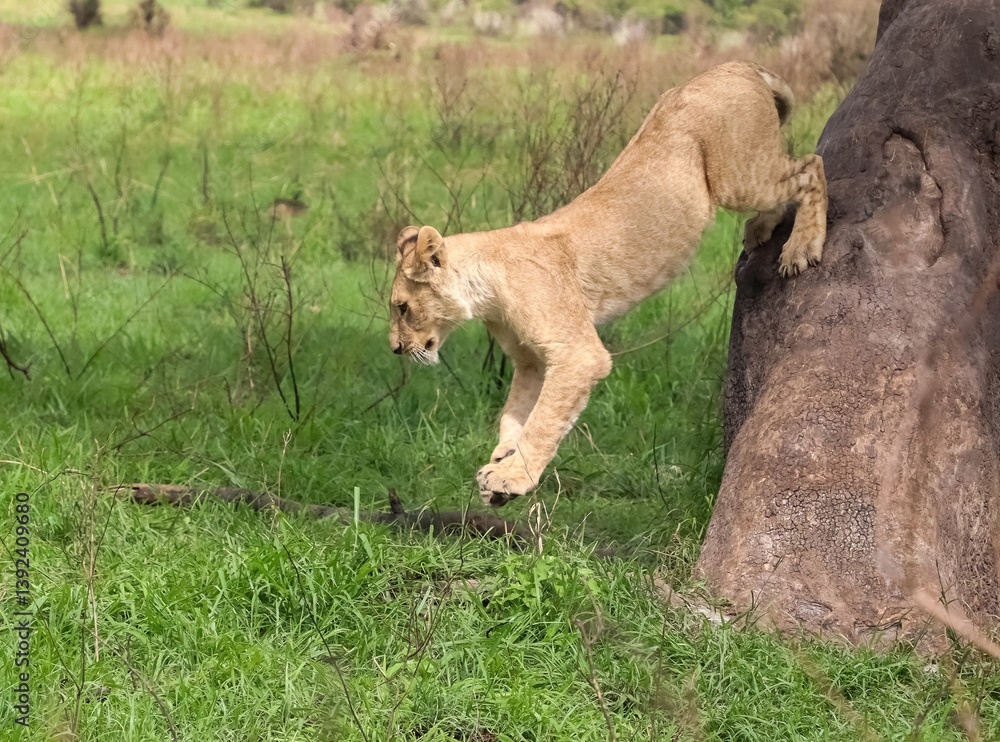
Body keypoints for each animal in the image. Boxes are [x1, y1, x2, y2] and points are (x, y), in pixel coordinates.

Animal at [389, 60, 827, 506]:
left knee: (811, 165)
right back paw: (762, 229)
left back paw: (800, 247)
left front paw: (511, 477)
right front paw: (500, 462)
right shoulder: (531, 360)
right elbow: (516, 414)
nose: (395, 348)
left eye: (402, 307)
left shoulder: (577, 354)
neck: (485, 290)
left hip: (738, 176)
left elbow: (542, 421)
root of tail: (731, 64)